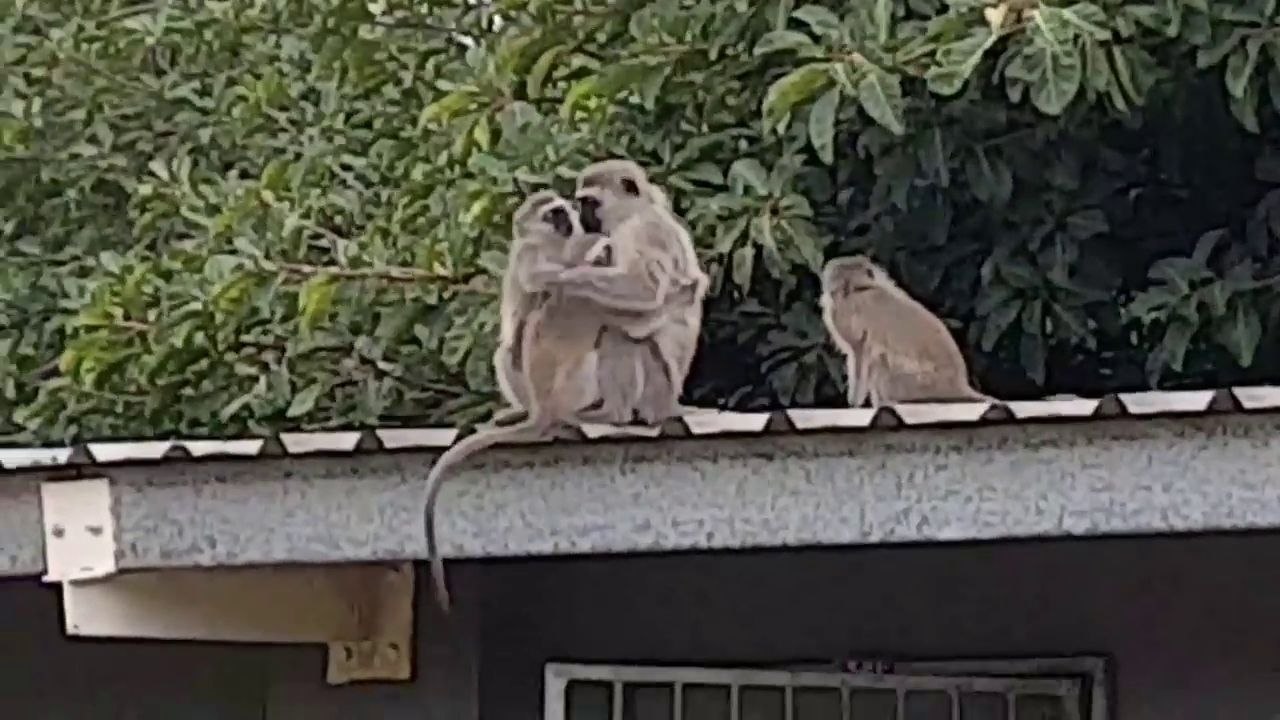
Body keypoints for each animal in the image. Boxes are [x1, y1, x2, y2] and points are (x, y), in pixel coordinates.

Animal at [820, 254, 991, 406]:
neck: (860, 288)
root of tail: (959, 384)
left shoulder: (843, 311)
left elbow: (860, 351)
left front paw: (854, 402)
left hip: (922, 384)